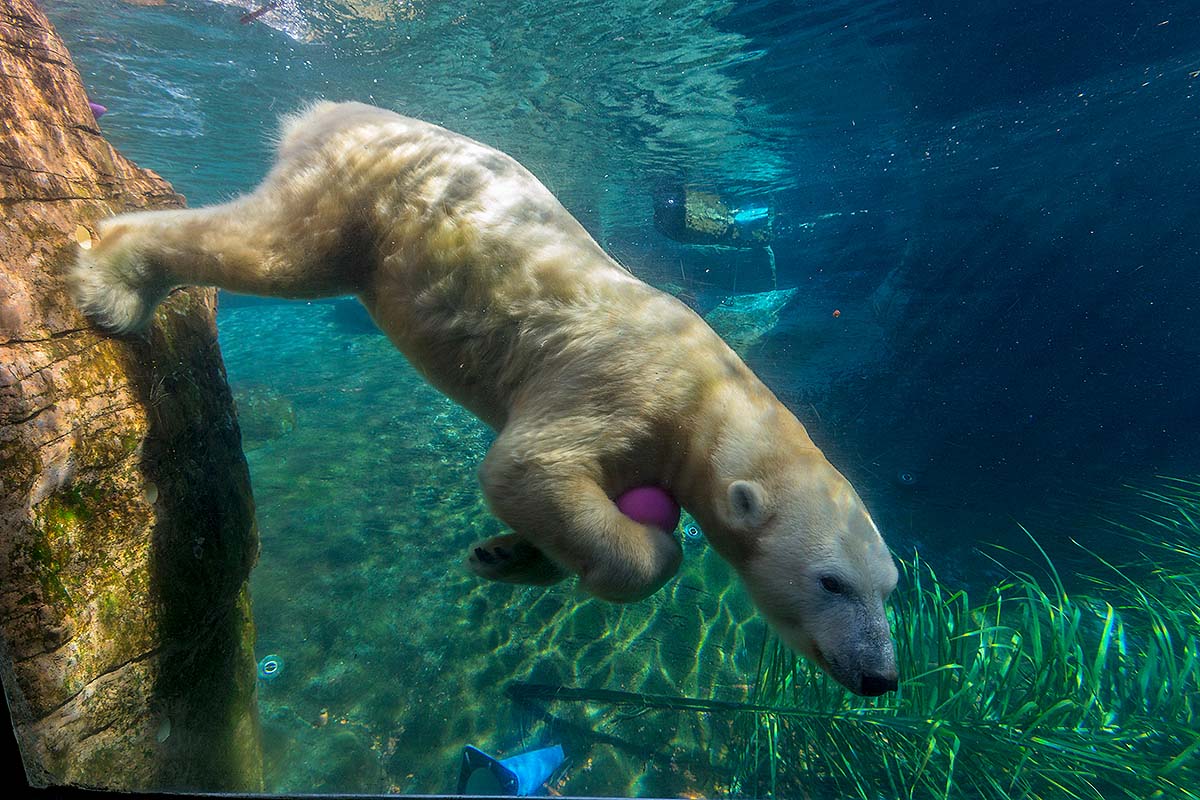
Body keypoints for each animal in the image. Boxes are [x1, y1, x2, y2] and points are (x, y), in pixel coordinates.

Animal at [70, 103, 902, 695]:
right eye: (831, 582)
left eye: (888, 588)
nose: (880, 676)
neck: (710, 393)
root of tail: (331, 111)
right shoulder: (622, 388)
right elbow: (527, 468)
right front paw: (637, 551)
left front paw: (506, 554)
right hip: (364, 201)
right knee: (272, 251)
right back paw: (112, 278)